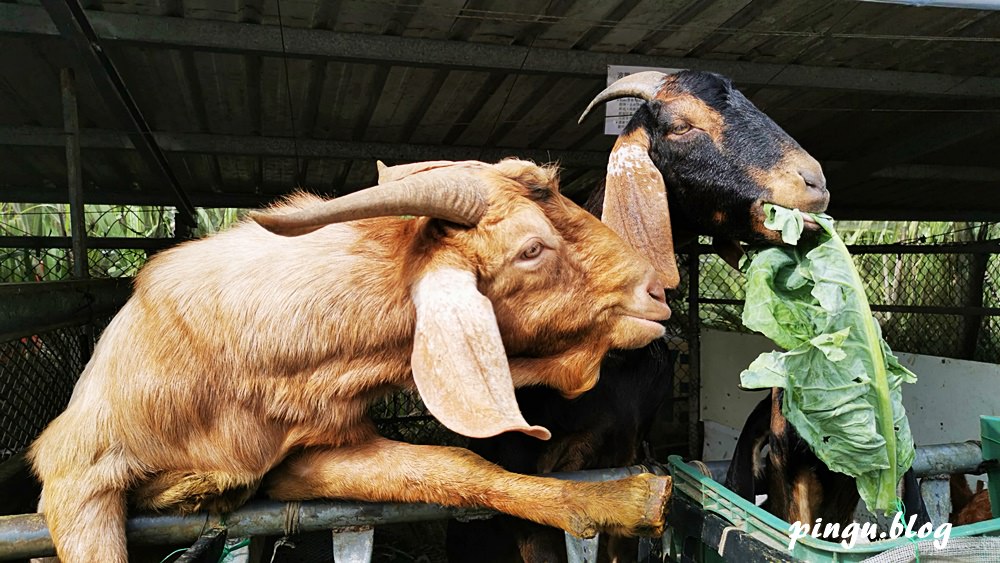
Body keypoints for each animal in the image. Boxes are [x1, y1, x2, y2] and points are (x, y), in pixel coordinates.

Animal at [31, 160, 676, 563]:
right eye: (532, 248)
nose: (655, 292)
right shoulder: (74, 471)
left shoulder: (304, 457)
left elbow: (453, 467)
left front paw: (617, 500)